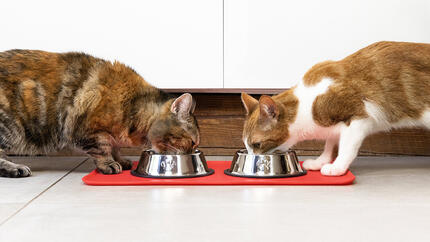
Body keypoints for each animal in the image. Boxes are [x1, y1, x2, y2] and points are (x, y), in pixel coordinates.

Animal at [0, 49, 200, 178]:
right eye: (192, 142)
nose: (192, 151)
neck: (133, 105)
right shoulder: (88, 129)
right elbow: (102, 148)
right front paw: (109, 163)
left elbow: (115, 147)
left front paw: (120, 159)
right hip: (11, 127)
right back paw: (15, 168)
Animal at [242, 40, 430, 175]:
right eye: (246, 144)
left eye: (257, 144)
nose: (251, 156)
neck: (307, 106)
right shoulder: (334, 124)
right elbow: (330, 143)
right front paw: (321, 161)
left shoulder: (357, 117)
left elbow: (347, 147)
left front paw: (337, 167)